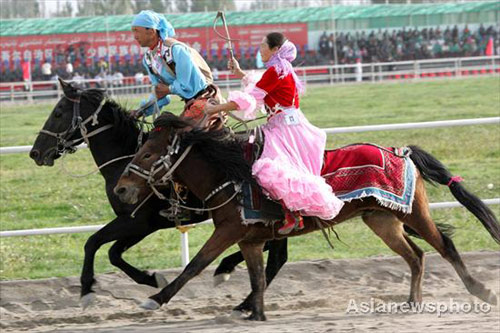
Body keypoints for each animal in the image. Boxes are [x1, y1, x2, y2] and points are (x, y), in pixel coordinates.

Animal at [31, 80, 288, 308]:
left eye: (58, 113)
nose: (35, 152)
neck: (125, 159)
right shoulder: (142, 225)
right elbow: (114, 252)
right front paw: (152, 278)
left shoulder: (137, 221)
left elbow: (93, 242)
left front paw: (86, 291)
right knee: (276, 254)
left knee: (274, 255)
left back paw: (230, 278)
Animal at [114, 113, 500, 320]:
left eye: (147, 154)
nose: (120, 189)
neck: (232, 176)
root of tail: (400, 151)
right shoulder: (249, 240)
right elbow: (256, 276)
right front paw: (255, 312)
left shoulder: (228, 231)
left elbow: (196, 265)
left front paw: (154, 299)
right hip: (382, 221)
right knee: (416, 255)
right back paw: (412, 301)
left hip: (414, 214)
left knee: (444, 246)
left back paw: (481, 291)